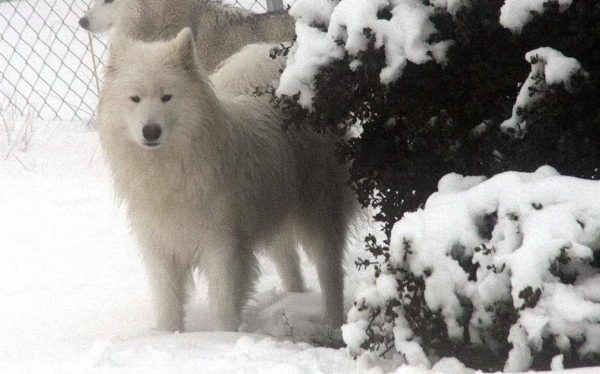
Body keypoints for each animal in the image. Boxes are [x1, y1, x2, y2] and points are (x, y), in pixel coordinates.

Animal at [97, 30, 352, 334]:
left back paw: (332, 322)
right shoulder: (160, 245)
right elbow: (167, 303)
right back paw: (295, 296)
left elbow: (223, 302)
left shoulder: (222, 245)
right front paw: (168, 335)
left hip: (318, 213)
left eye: (167, 97)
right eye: (134, 98)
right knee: (289, 261)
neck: (171, 167)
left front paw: (224, 338)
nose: (151, 131)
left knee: (330, 270)